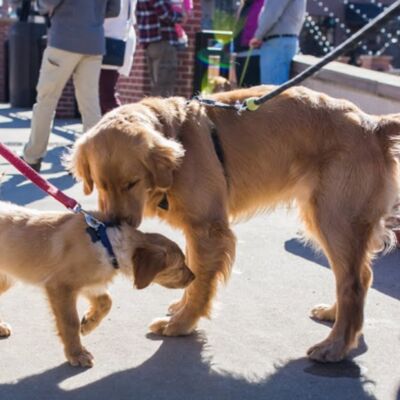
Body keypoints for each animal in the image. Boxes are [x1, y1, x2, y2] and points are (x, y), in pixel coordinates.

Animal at [0, 202, 194, 368]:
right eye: (179, 267)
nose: (194, 277)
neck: (107, 243)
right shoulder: (61, 286)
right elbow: (70, 323)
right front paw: (76, 354)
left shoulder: (90, 283)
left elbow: (106, 301)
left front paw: (89, 323)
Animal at [67, 85, 400, 362]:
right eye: (100, 184)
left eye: (132, 183)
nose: (115, 226)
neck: (177, 140)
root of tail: (373, 124)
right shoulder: (197, 231)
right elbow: (193, 271)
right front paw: (180, 309)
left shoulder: (208, 229)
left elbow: (201, 280)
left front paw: (181, 324)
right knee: (360, 275)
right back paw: (335, 316)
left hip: (334, 219)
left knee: (353, 283)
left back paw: (335, 346)